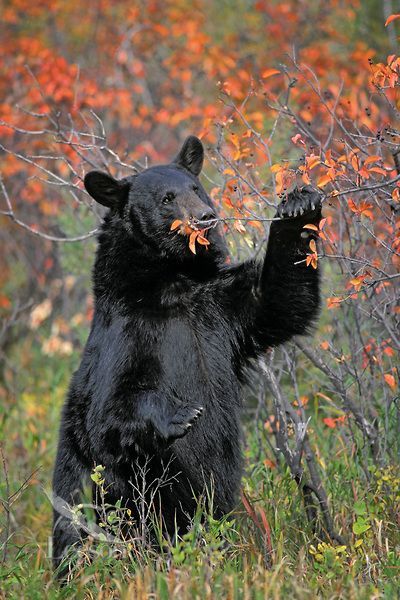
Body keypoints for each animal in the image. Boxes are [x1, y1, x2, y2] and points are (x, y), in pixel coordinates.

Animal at [53, 136, 322, 568]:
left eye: (196, 188)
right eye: (167, 197)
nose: (206, 218)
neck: (170, 286)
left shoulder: (222, 308)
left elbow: (279, 301)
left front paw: (300, 204)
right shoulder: (125, 335)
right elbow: (107, 414)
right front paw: (182, 414)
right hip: (97, 501)